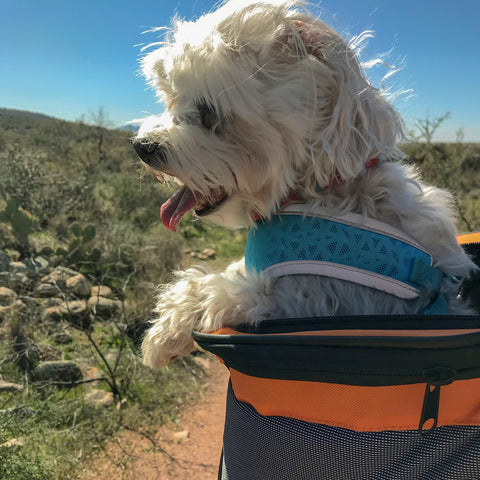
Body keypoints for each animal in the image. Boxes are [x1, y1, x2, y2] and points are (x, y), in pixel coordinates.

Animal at [132, 0, 476, 372]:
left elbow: (220, 291)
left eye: (210, 112)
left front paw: (169, 330)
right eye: (172, 100)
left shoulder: (321, 299)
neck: (317, 192)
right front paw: (165, 331)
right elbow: (208, 279)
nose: (142, 146)